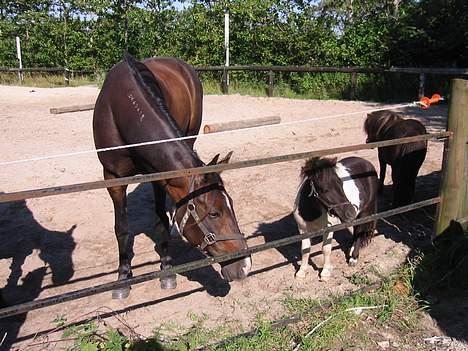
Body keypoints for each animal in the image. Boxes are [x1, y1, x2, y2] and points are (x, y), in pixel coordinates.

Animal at [93, 55, 250, 300]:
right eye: (214, 213)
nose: (244, 266)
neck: (123, 111)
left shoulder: (159, 175)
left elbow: (161, 222)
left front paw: (166, 269)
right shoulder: (113, 179)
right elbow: (122, 229)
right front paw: (123, 277)